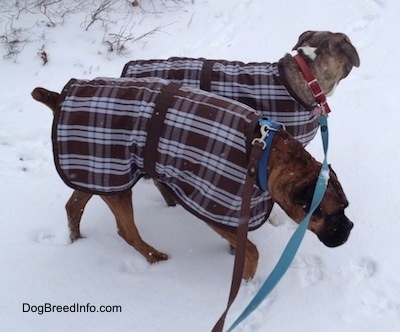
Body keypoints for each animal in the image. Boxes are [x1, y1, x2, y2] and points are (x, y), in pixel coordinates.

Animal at [31, 77, 354, 280]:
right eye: (331, 214)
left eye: (346, 209)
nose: (349, 228)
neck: (266, 155)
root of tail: (60, 96)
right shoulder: (217, 208)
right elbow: (251, 251)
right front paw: (247, 286)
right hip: (115, 179)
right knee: (128, 232)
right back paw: (156, 258)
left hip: (97, 173)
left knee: (74, 206)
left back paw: (77, 242)